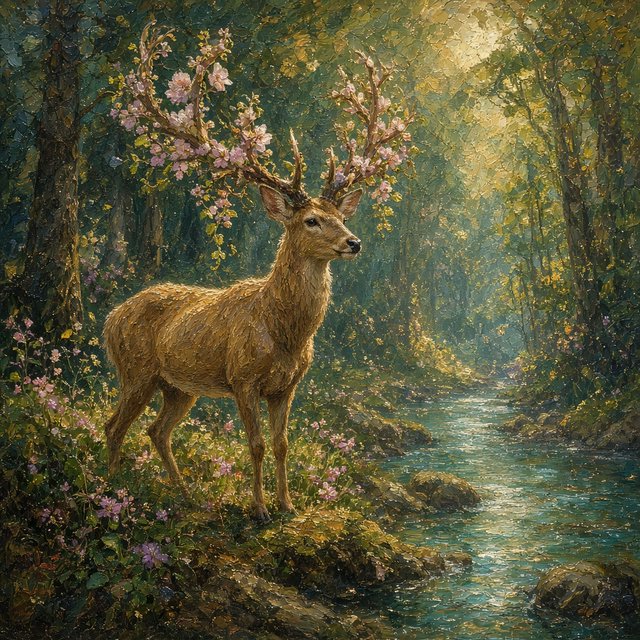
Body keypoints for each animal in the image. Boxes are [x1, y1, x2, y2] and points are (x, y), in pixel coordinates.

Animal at [104, 24, 412, 521]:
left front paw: (287, 505)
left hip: (178, 387)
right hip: (136, 371)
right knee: (114, 426)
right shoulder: (242, 379)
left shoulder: (286, 387)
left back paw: (184, 493)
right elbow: (255, 446)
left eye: (339, 215)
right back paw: (112, 490)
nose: (354, 242)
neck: (285, 330)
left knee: (155, 431)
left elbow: (283, 444)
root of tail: (110, 318)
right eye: (311, 220)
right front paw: (260, 509)